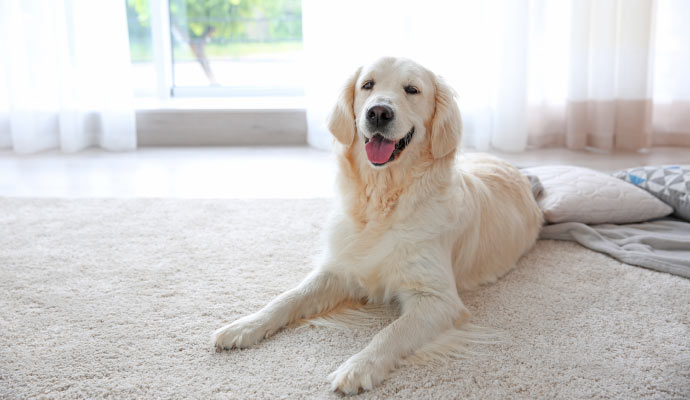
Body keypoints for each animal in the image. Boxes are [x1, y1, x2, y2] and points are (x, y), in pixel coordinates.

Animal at [211, 56, 544, 394]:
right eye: (367, 85)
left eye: (412, 89)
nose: (379, 112)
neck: (382, 200)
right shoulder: (339, 269)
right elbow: (288, 297)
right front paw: (245, 325)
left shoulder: (438, 299)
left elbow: (392, 332)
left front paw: (359, 367)